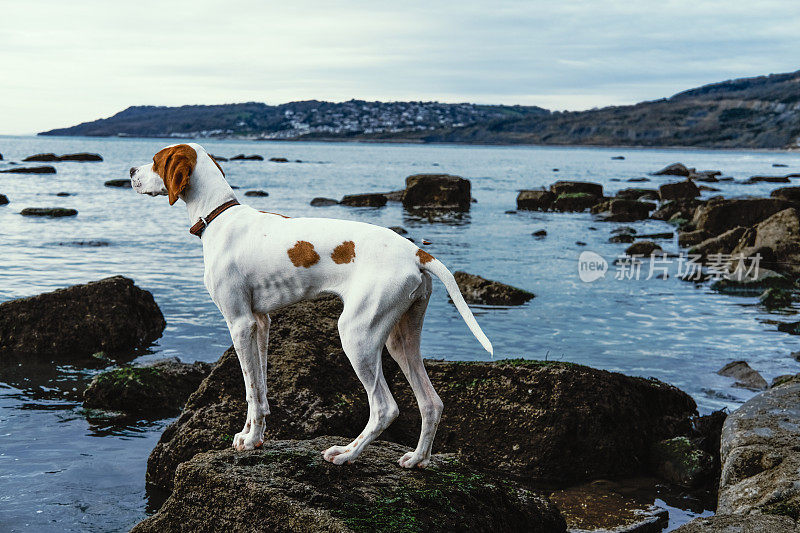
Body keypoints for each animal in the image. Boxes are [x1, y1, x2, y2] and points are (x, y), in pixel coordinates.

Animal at [130, 143, 490, 468]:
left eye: (156, 160)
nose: (131, 170)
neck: (218, 217)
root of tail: (416, 252)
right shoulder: (260, 323)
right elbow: (259, 389)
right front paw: (252, 436)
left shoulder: (240, 323)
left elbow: (249, 388)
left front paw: (250, 439)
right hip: (400, 339)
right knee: (431, 402)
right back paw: (417, 459)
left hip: (357, 334)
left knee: (384, 408)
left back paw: (346, 454)